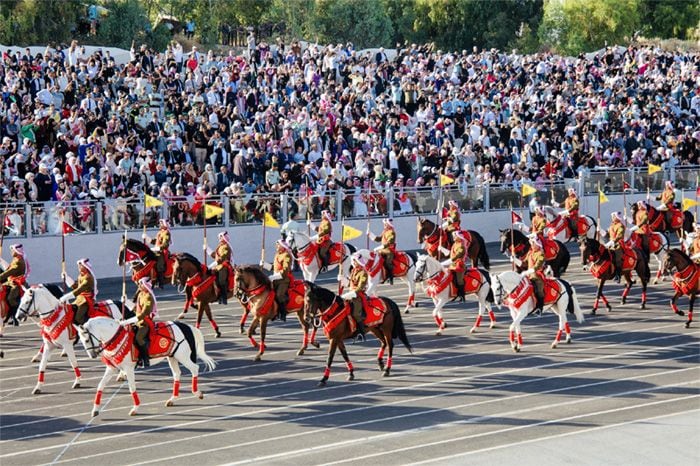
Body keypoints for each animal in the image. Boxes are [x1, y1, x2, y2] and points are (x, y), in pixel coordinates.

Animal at [78, 314, 215, 416]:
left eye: (86, 340)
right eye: (82, 340)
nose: (92, 355)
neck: (118, 338)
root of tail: (186, 326)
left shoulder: (128, 369)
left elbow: (132, 388)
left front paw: (135, 408)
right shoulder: (112, 368)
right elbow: (100, 385)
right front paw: (95, 410)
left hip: (183, 356)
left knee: (195, 368)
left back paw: (197, 393)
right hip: (172, 357)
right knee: (177, 374)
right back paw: (172, 399)